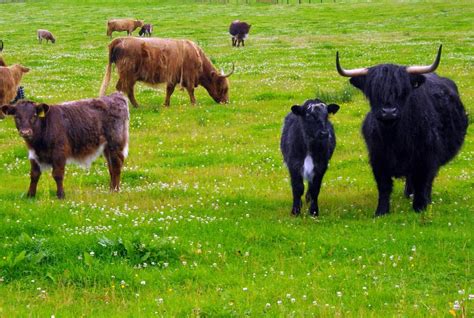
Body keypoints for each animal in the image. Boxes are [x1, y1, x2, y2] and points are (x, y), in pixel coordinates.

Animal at [0, 90, 130, 199]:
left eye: (34, 116)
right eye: (17, 117)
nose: (25, 132)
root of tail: (115, 96)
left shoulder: (59, 153)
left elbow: (57, 174)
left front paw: (61, 195)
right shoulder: (33, 155)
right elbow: (34, 175)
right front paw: (30, 195)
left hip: (115, 144)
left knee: (116, 166)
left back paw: (115, 190)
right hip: (107, 148)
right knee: (111, 167)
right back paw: (111, 189)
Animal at [99, 36, 233, 107]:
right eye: (224, 88)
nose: (226, 102)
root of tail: (121, 39)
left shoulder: (173, 77)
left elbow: (169, 90)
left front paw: (166, 104)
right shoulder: (189, 75)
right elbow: (190, 89)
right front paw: (194, 103)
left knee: (125, 88)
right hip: (128, 74)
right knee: (125, 88)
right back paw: (135, 105)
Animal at [336, 45, 466, 216]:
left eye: (403, 91)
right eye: (373, 91)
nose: (389, 112)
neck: (394, 137)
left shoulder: (426, 157)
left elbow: (422, 182)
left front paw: (420, 207)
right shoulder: (378, 159)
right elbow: (384, 186)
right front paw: (381, 211)